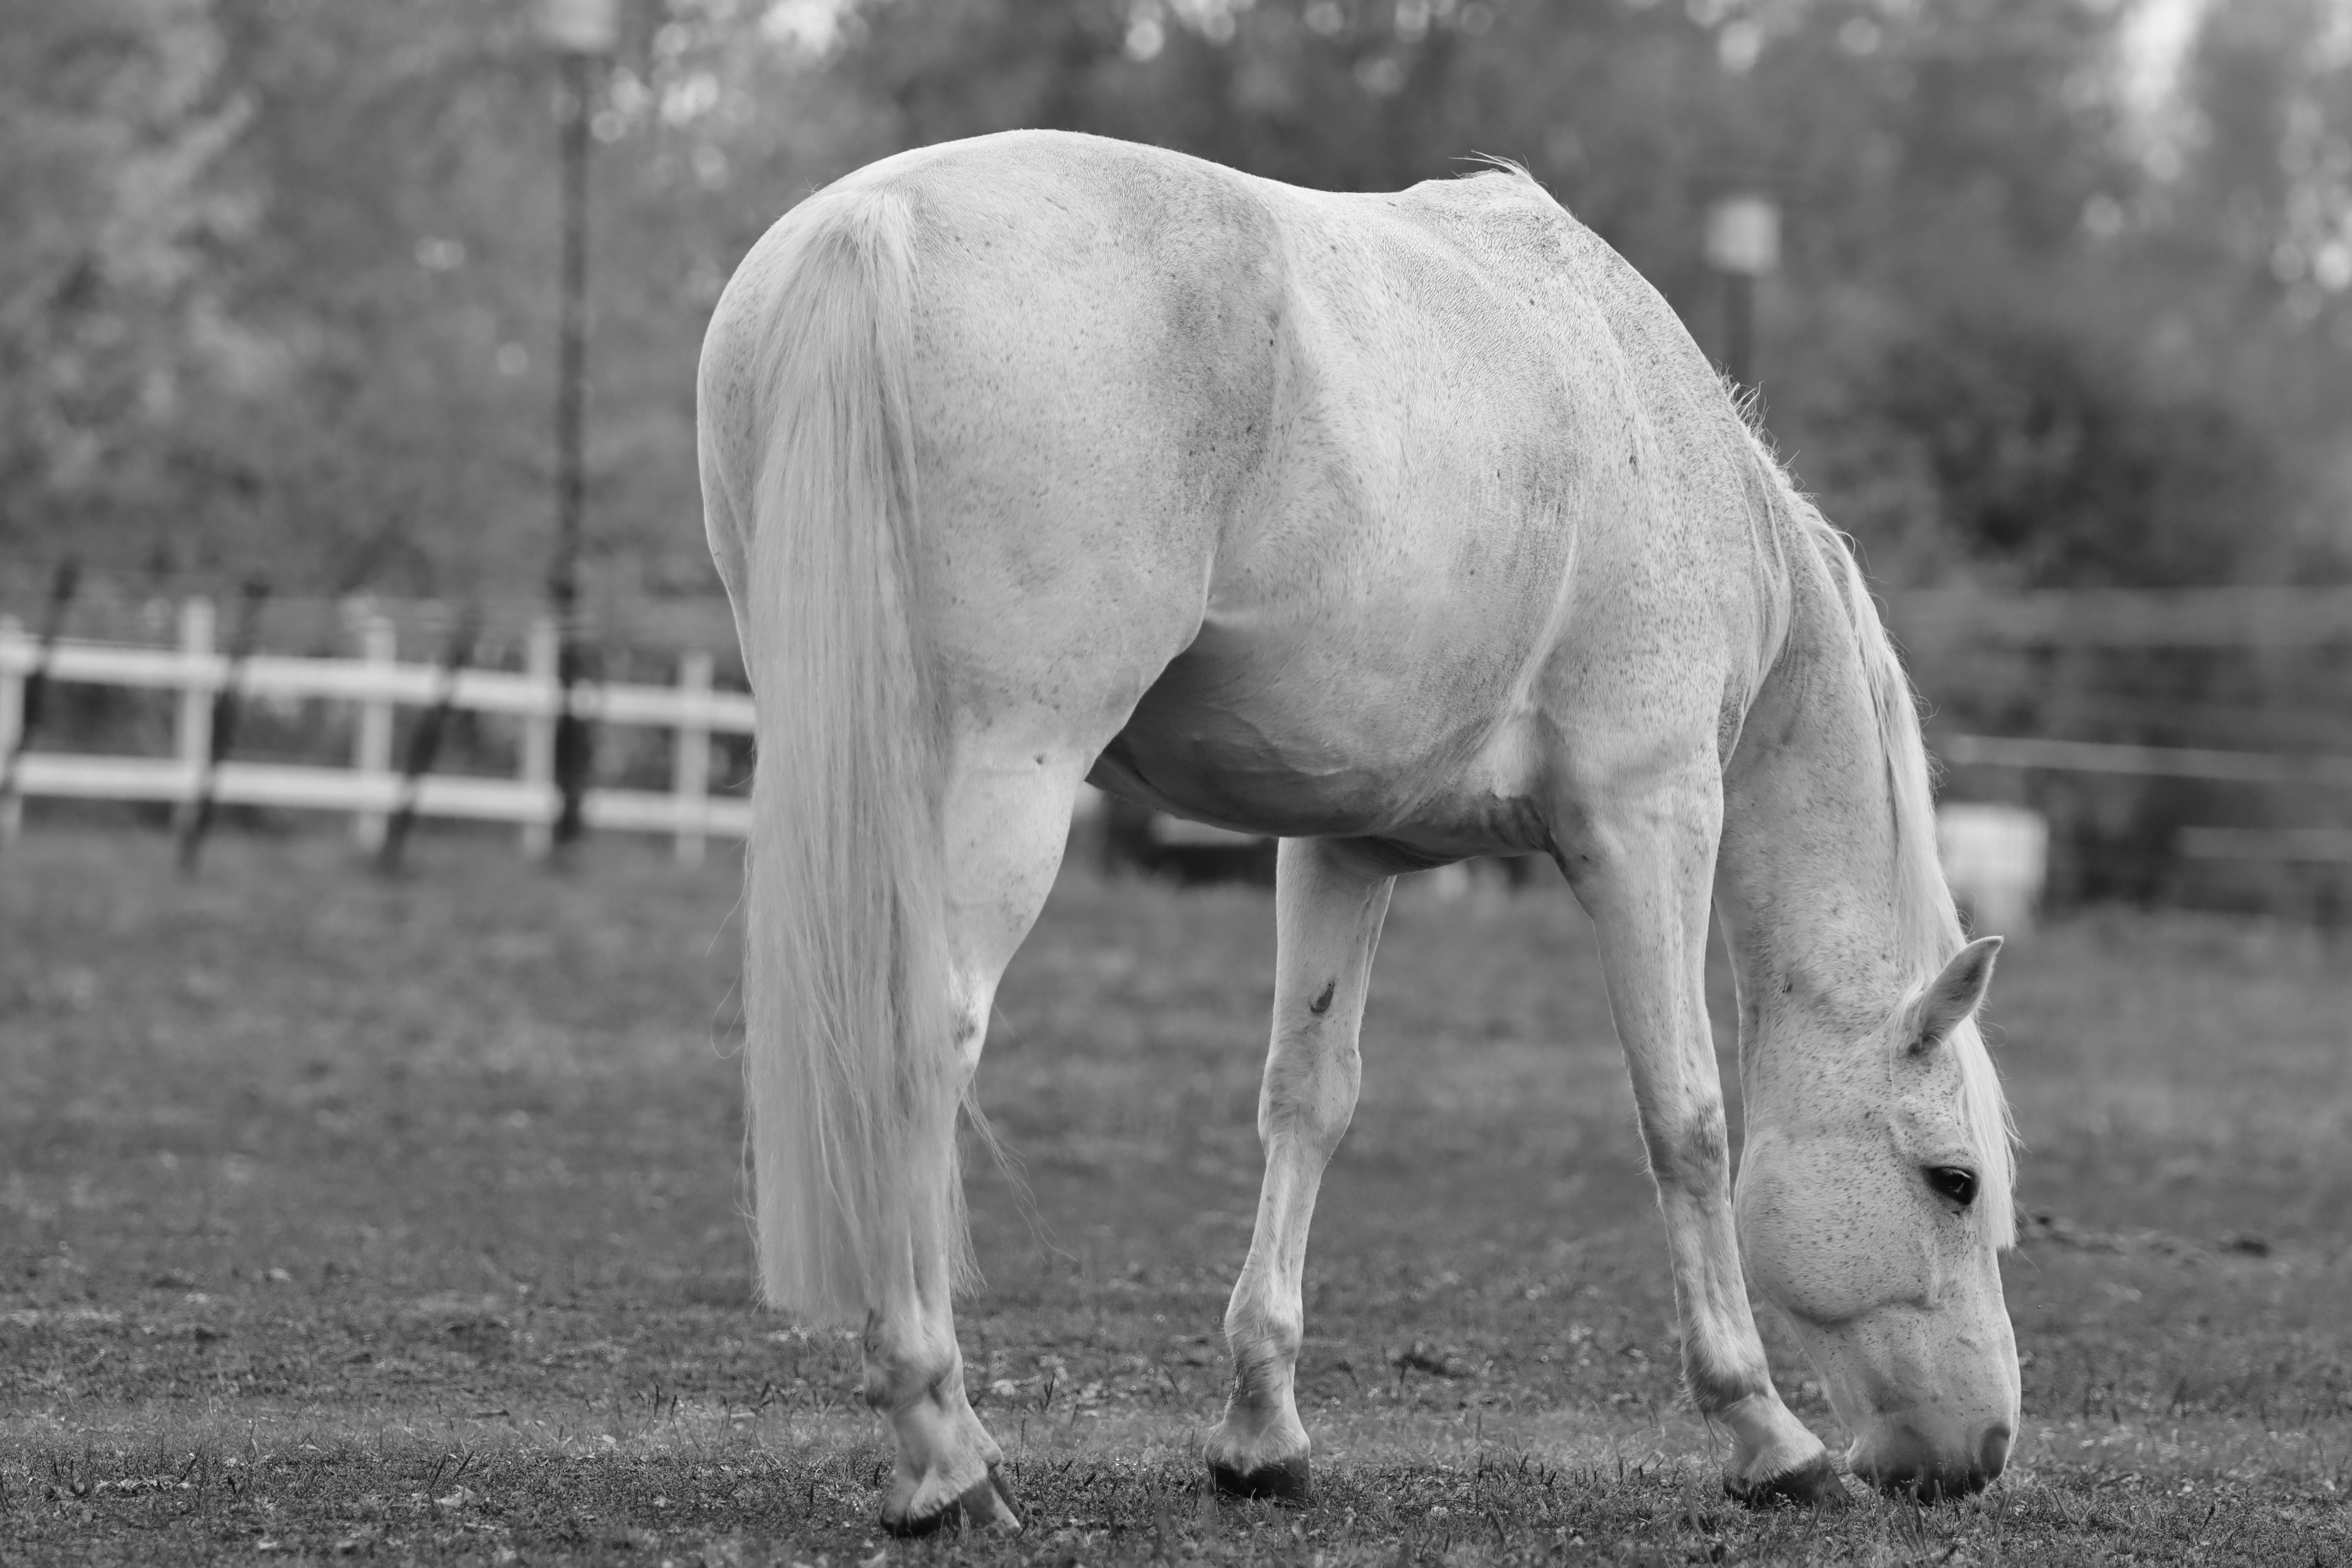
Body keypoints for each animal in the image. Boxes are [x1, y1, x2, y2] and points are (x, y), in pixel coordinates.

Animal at [691, 131, 2023, 1533]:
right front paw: (1765, 1433)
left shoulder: (1343, 846)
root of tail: (872, 227)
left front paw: (1260, 1433)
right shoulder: (1650, 817)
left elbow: (1308, 1100)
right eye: (1952, 1180)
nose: (1979, 1448)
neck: (1652, 428)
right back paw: (945, 1452)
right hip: (1009, 782)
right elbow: (1688, 1118)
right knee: (920, 1046)